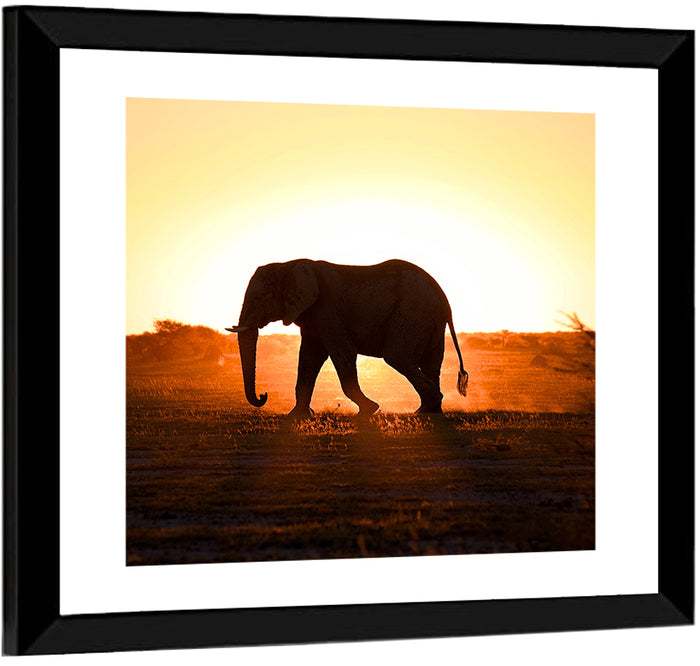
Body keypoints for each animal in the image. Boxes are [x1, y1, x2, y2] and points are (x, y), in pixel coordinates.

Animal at [226, 259, 468, 417]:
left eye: (259, 299)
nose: (263, 395)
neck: (288, 264)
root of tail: (444, 299)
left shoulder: (328, 310)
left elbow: (342, 353)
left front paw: (370, 410)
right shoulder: (313, 316)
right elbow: (308, 359)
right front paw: (297, 416)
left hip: (413, 313)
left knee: (398, 358)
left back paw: (427, 407)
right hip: (428, 321)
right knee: (431, 364)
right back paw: (430, 410)